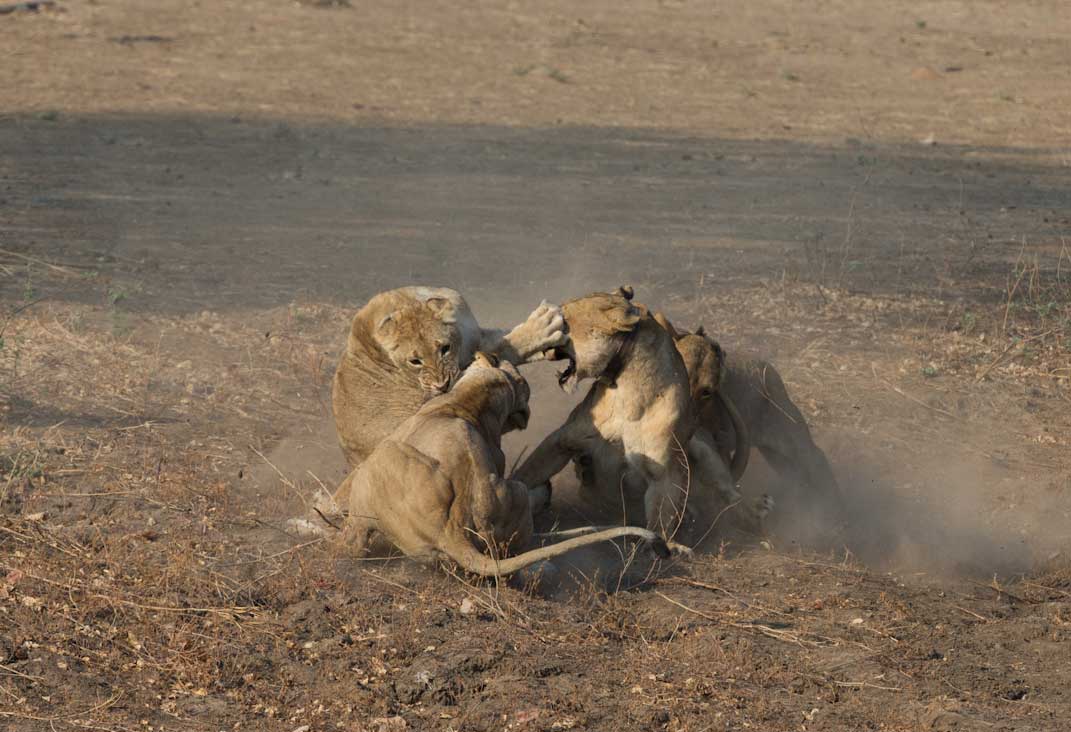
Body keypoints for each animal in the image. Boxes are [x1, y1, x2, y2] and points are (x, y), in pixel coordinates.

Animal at [509, 287, 736, 544]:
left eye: (564, 322)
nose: (543, 347)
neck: (627, 396)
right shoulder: (561, 441)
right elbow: (526, 474)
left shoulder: (664, 476)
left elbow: (659, 523)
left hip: (703, 449)